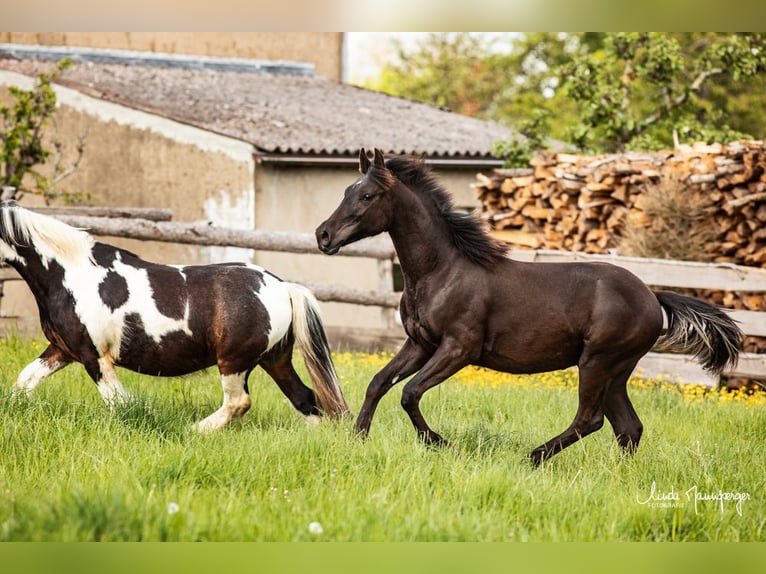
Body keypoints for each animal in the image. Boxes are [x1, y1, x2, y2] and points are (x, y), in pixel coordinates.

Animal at [2, 202, 352, 432]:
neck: (70, 274)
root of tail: (282, 287)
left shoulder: (95, 357)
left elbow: (121, 403)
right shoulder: (62, 350)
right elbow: (24, 382)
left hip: (234, 361)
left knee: (239, 402)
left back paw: (195, 430)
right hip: (274, 359)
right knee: (304, 397)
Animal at [314, 150, 744, 468]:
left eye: (367, 196)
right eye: (348, 189)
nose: (323, 235)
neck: (442, 270)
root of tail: (653, 297)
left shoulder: (459, 349)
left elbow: (410, 393)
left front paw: (440, 444)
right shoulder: (419, 344)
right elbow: (379, 383)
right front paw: (357, 437)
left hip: (597, 362)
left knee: (591, 419)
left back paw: (532, 457)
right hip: (617, 371)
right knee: (629, 427)